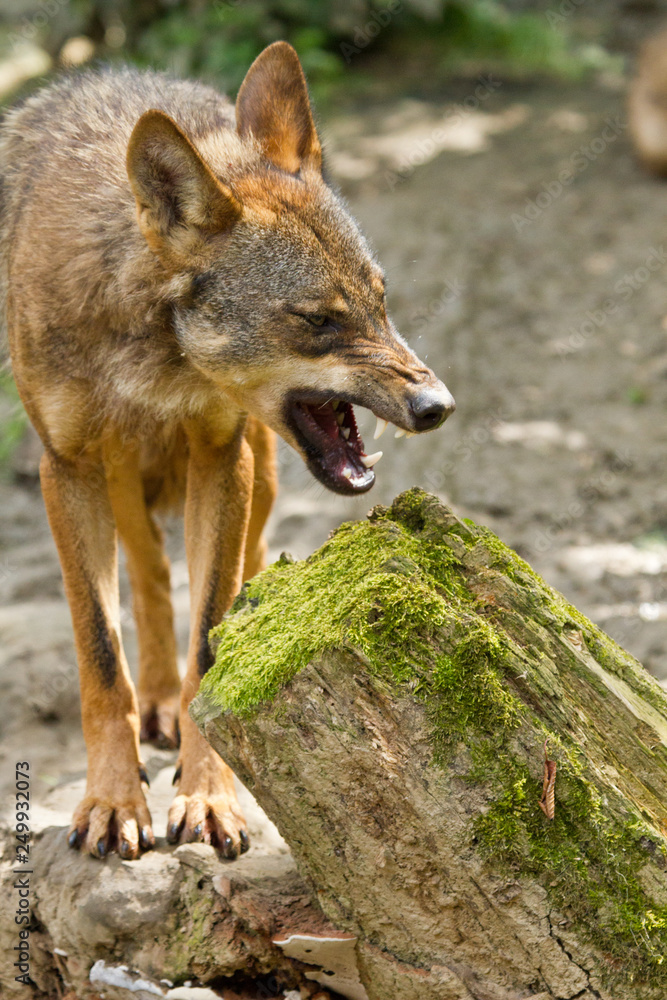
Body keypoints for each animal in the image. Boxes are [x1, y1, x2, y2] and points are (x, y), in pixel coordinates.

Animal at [1, 42, 454, 859]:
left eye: (380, 301)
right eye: (318, 320)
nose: (437, 407)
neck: (151, 348)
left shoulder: (221, 457)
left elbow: (210, 643)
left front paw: (210, 794)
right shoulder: (67, 470)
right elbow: (101, 656)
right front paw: (112, 802)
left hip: (257, 474)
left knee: (238, 570)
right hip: (118, 478)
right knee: (148, 579)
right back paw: (155, 706)